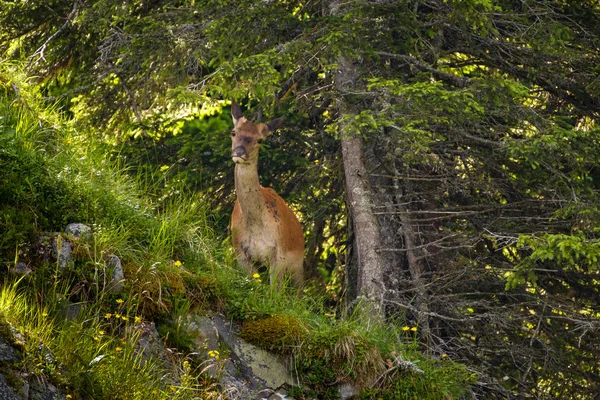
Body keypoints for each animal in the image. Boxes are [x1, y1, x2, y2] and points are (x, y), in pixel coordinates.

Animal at [230, 100, 304, 288]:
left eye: (260, 140)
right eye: (233, 132)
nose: (239, 152)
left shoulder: (279, 253)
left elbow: (274, 292)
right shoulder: (239, 249)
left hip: (297, 265)